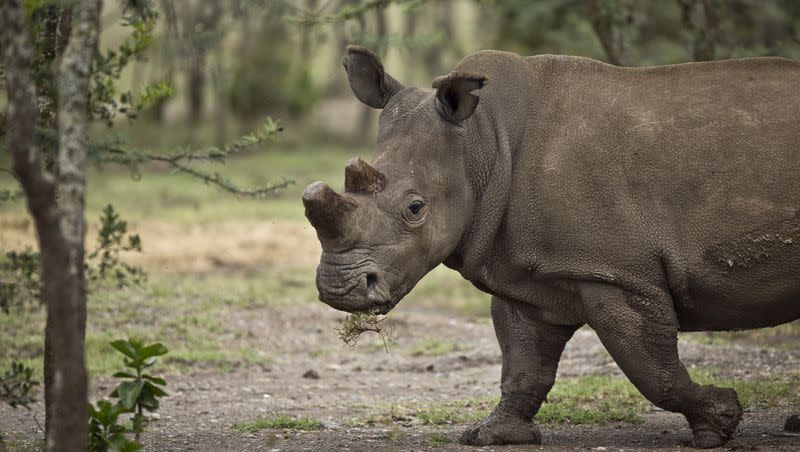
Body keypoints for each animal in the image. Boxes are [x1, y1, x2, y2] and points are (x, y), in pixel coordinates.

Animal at [302, 44, 800, 446]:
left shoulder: (615, 273)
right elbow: (523, 363)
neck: (483, 141)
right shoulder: (526, 270)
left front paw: (719, 424)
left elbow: (651, 368)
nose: (338, 289)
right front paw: (493, 434)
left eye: (415, 208)